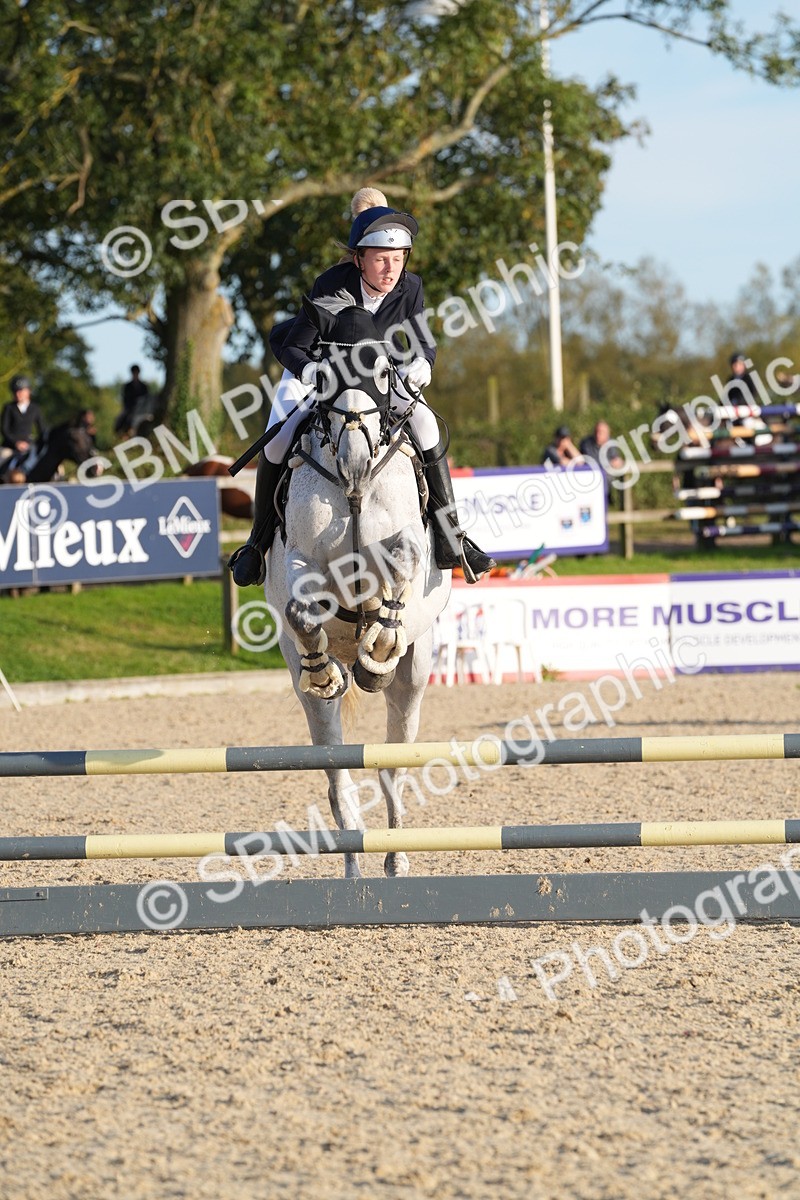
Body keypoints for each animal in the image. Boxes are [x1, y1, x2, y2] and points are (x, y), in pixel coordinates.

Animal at [264, 298, 450, 879]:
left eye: (384, 370)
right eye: (325, 373)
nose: (353, 461)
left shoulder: (409, 542)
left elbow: (404, 558)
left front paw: (381, 640)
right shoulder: (301, 562)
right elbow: (302, 609)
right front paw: (327, 666)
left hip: (416, 675)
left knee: (393, 770)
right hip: (306, 693)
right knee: (339, 782)